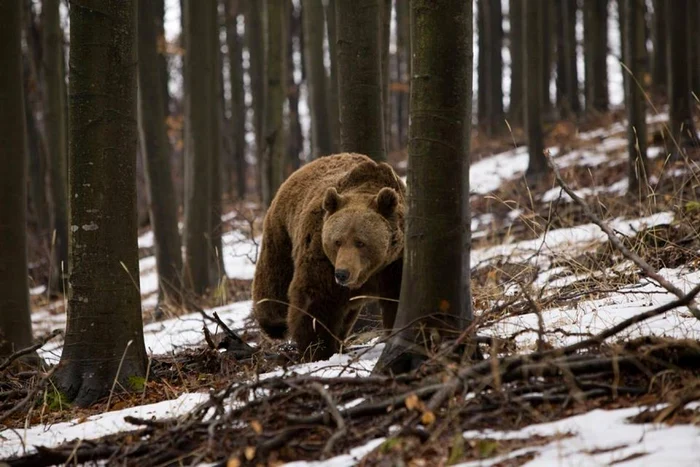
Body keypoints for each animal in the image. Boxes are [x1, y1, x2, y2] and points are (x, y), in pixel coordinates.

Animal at [252, 154, 404, 362]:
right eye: (337, 241)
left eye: (360, 242)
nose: (342, 273)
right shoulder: (320, 254)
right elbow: (317, 301)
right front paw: (317, 350)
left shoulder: (395, 264)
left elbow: (396, 301)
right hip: (281, 234)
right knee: (273, 288)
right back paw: (275, 324)